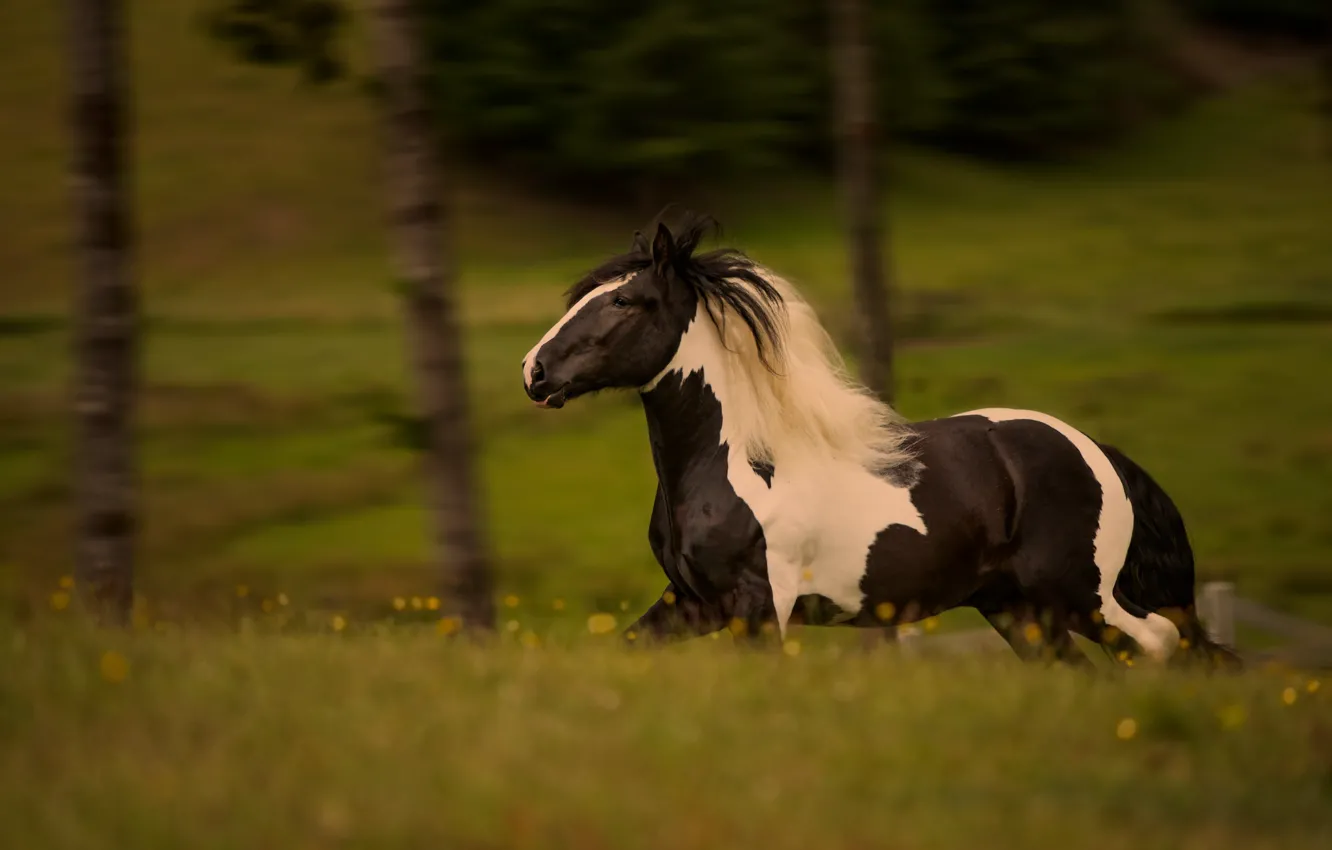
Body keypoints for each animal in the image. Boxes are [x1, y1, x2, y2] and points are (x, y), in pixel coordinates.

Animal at [521, 211, 1238, 668]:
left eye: (625, 302)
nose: (534, 371)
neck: (734, 466)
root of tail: (1096, 453)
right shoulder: (691, 603)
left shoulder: (759, 607)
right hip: (1018, 610)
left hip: (1080, 594)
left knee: (1160, 643)